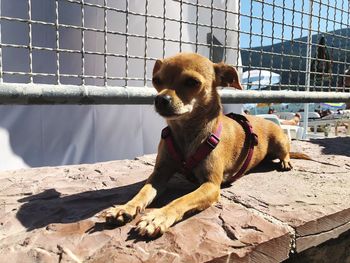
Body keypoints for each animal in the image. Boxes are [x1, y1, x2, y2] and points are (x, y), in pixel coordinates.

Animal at [100, 52, 292, 238]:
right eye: (156, 80)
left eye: (192, 82)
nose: (160, 99)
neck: (186, 133)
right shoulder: (159, 174)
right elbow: (143, 192)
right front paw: (125, 207)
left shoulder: (210, 185)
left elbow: (181, 200)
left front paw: (157, 217)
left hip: (280, 142)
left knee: (286, 153)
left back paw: (285, 162)